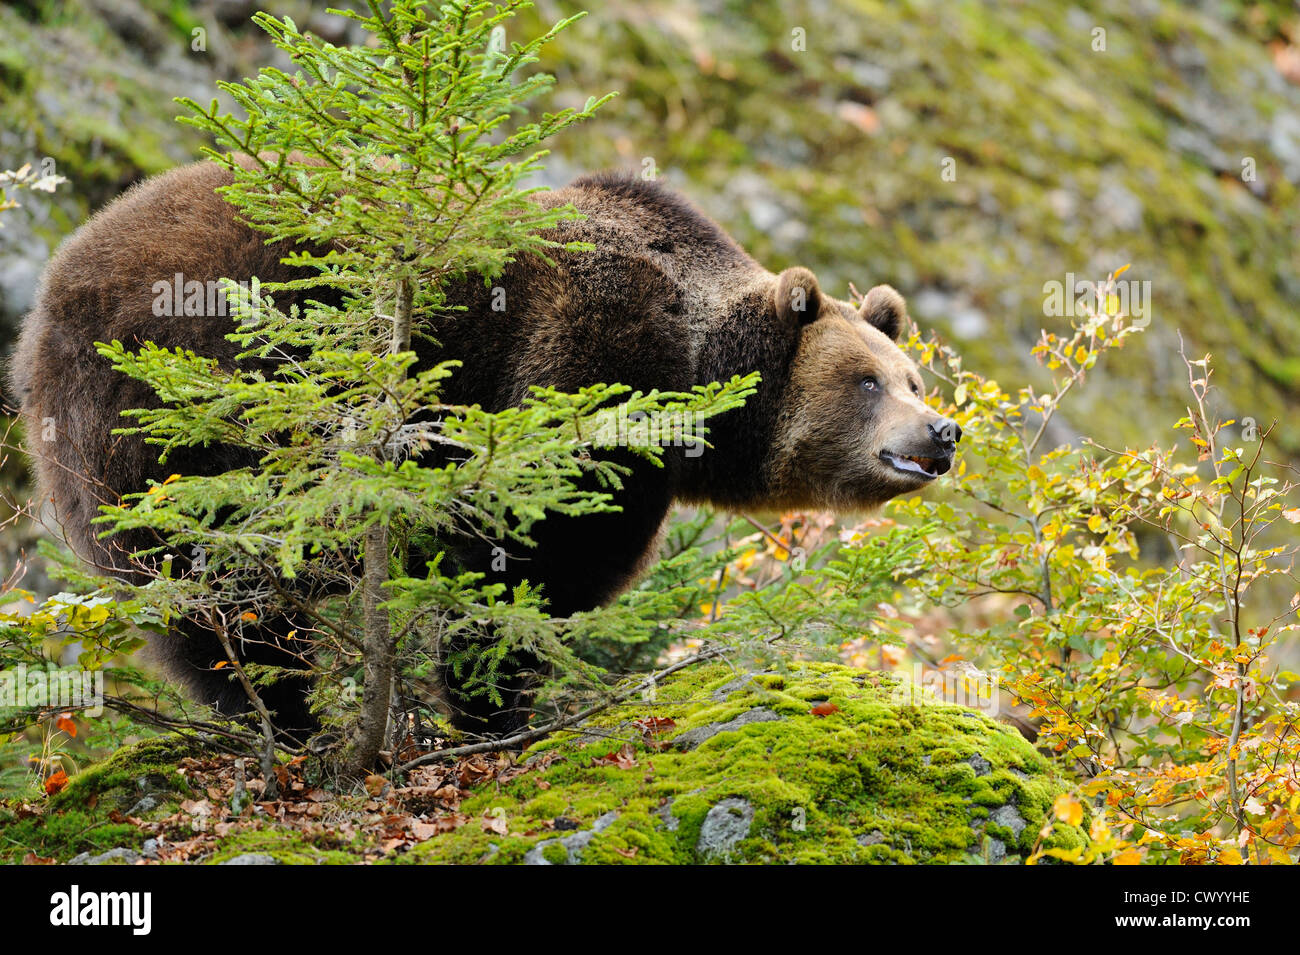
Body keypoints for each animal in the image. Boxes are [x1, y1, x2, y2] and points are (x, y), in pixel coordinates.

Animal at [8, 163, 961, 739]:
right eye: (866, 381)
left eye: (913, 376)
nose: (942, 430)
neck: (689, 379)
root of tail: (54, 290)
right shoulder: (576, 374)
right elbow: (525, 560)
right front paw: (494, 706)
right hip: (193, 406)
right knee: (217, 586)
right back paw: (283, 712)